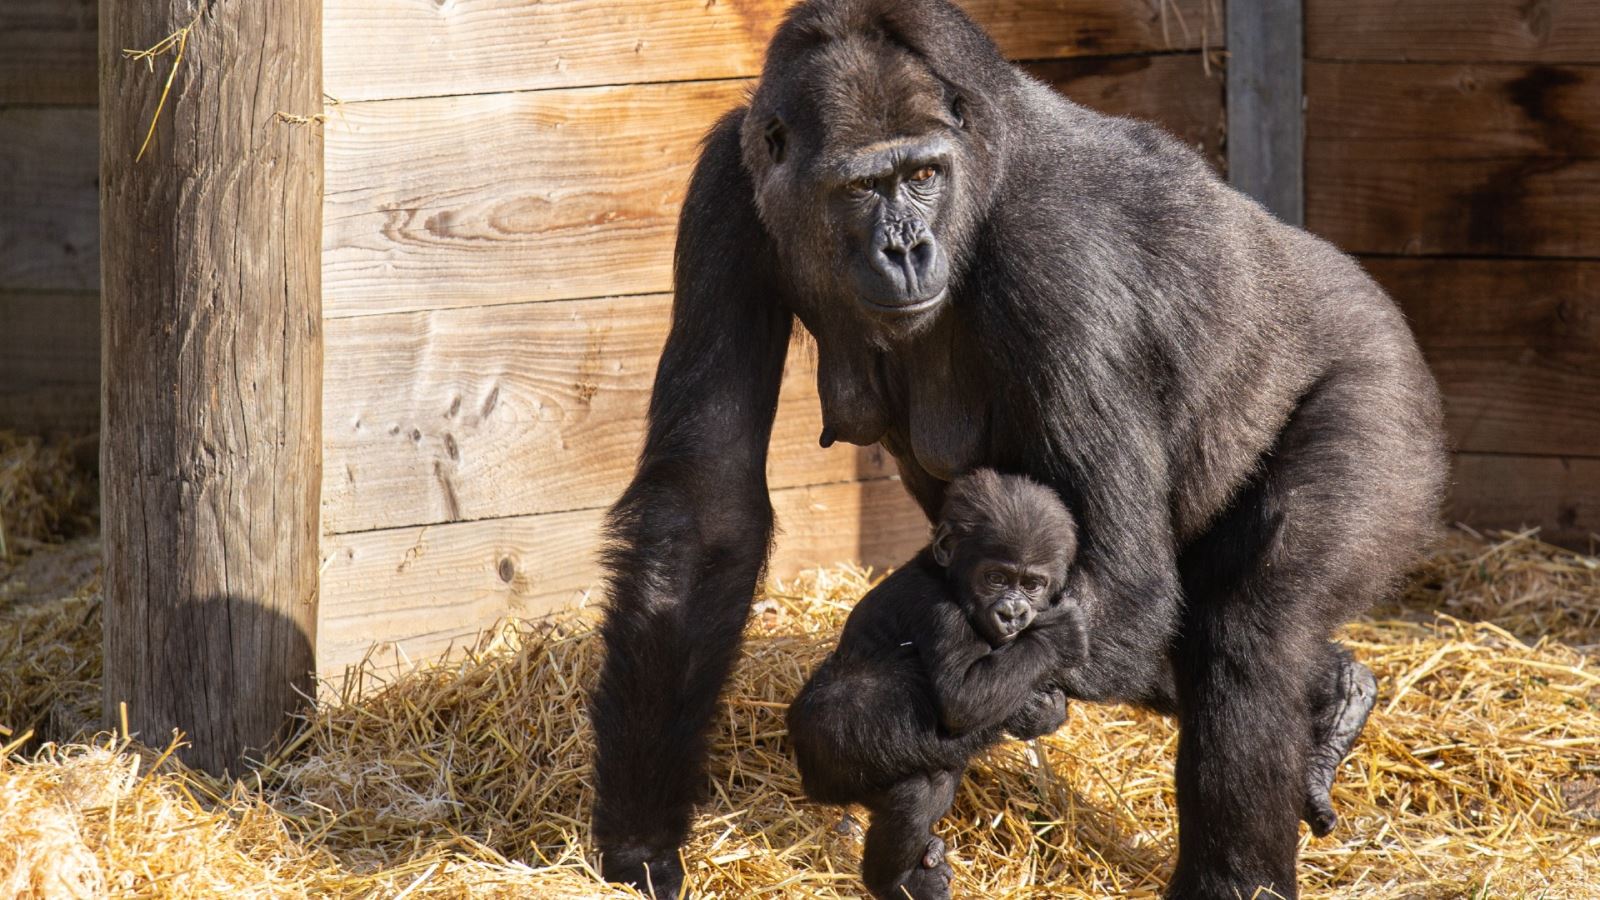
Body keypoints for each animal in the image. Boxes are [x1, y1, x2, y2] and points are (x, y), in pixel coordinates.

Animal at [787, 470, 1088, 896]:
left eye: (1032, 584)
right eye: (996, 578)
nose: (1012, 613)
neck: (945, 576)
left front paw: (1044, 708)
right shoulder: (940, 612)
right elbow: (963, 699)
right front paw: (1058, 637)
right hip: (832, 769)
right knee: (909, 782)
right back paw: (892, 883)